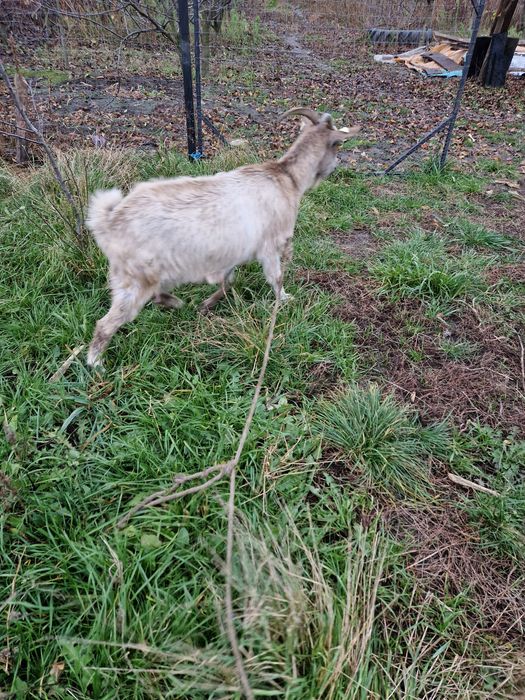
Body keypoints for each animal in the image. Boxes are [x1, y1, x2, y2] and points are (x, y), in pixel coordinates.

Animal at [86, 107, 360, 367]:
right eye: (338, 145)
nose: (335, 167)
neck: (287, 177)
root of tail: (109, 220)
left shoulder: (233, 251)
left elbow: (228, 280)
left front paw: (207, 305)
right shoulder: (269, 246)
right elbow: (275, 277)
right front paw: (284, 299)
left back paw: (174, 302)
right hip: (136, 279)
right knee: (107, 323)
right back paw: (96, 363)